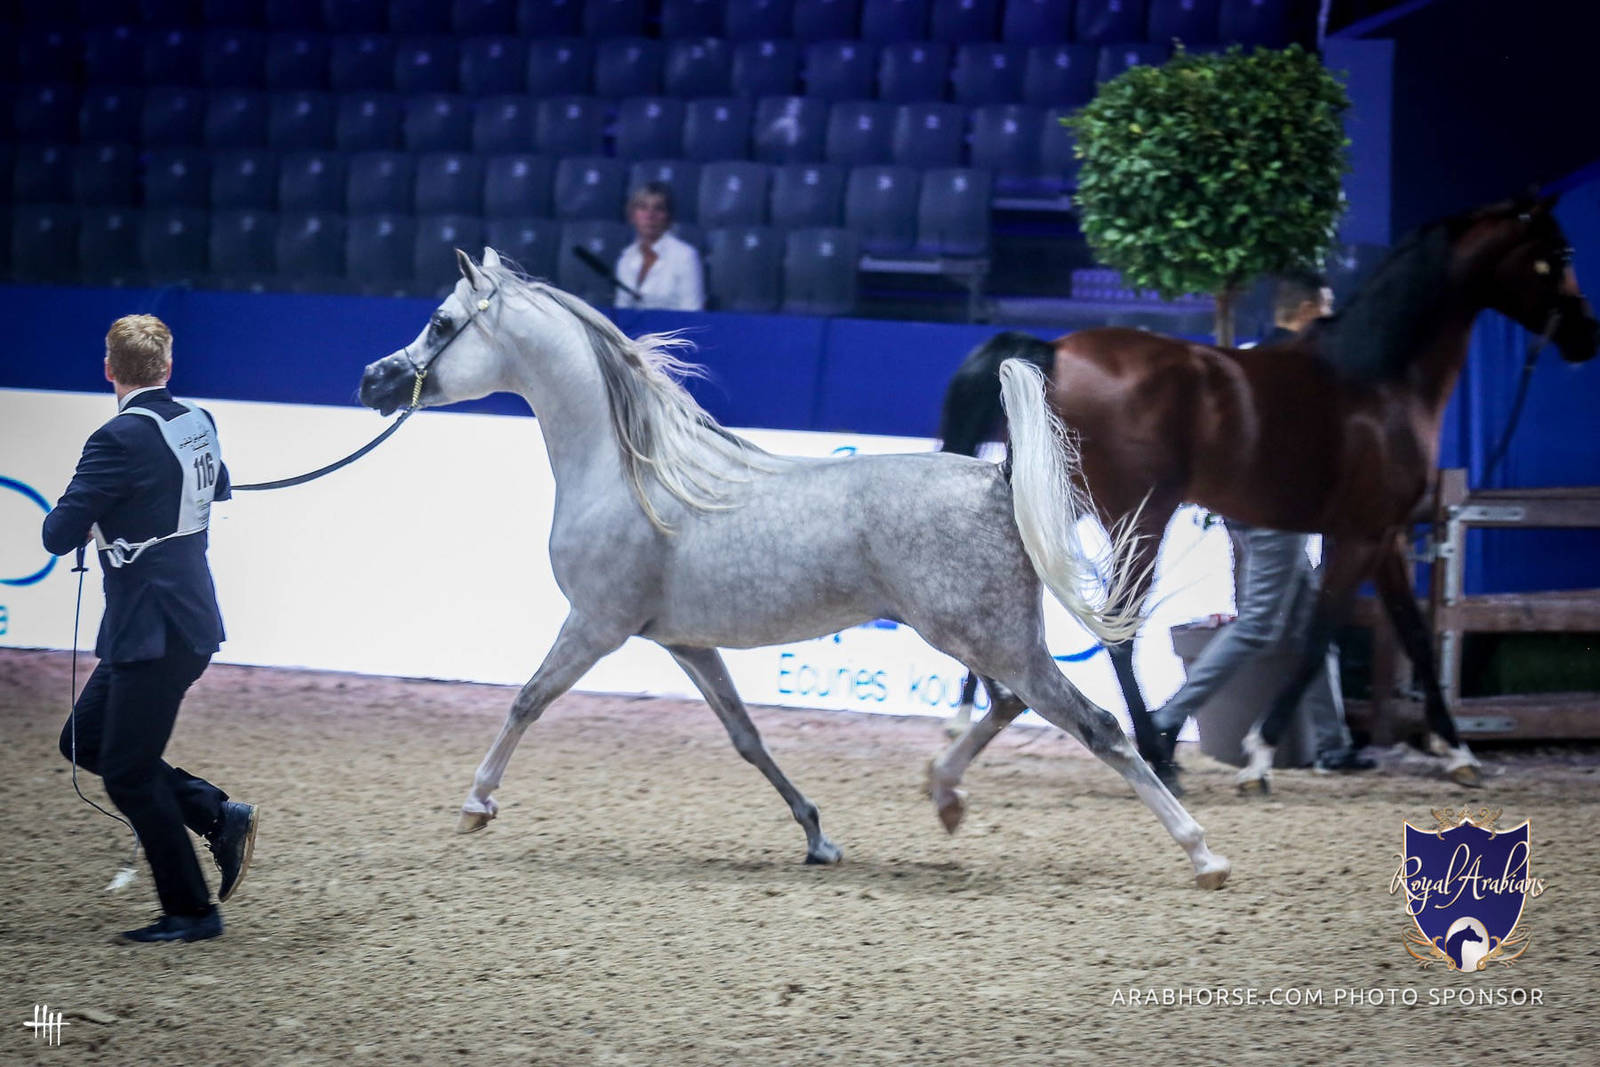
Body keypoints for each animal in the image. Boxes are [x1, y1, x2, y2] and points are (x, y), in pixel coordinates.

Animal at [357, 247, 1232, 888]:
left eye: (441, 320)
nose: (374, 379)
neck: (631, 473)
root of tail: (996, 477)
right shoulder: (683, 641)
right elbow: (747, 736)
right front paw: (818, 837)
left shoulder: (597, 624)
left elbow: (527, 700)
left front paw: (476, 803)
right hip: (985, 637)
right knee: (1011, 705)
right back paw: (943, 794)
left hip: (989, 637)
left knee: (1095, 724)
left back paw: (1203, 852)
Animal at [931, 194, 1598, 800]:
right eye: (1560, 254)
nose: (1586, 335)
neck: (1380, 380)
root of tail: (1054, 353)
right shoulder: (1359, 537)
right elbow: (1318, 637)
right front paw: (1257, 758)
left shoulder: (1384, 538)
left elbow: (1414, 635)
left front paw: (1459, 753)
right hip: (1138, 519)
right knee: (1117, 634)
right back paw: (1155, 754)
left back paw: (978, 716)